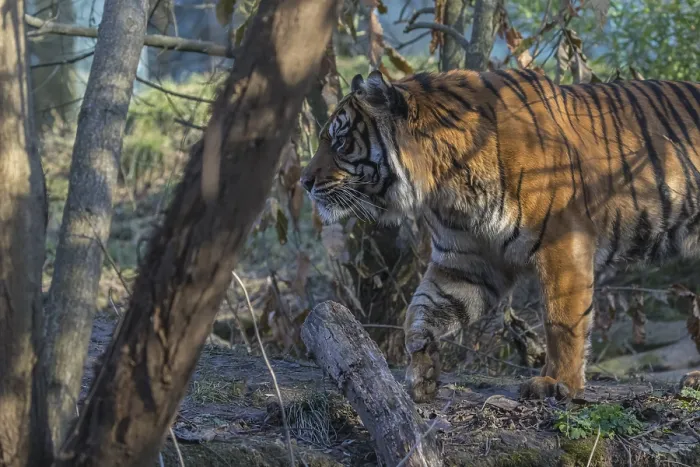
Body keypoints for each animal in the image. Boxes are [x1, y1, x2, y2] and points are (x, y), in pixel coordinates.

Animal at [299, 67, 700, 402]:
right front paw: (422, 374)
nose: (304, 182)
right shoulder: (467, 259)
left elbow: (562, 320)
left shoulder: (563, 241)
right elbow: (421, 311)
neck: (446, 182)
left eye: (339, 142)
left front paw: (560, 384)